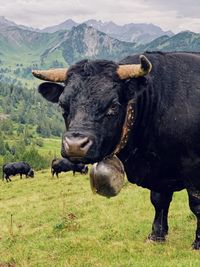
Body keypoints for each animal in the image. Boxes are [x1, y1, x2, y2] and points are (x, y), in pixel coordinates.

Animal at [32, 51, 200, 249]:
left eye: (113, 105)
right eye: (62, 105)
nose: (75, 145)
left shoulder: (193, 168)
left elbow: (196, 205)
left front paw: (198, 243)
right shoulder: (159, 170)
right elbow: (159, 201)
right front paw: (156, 235)